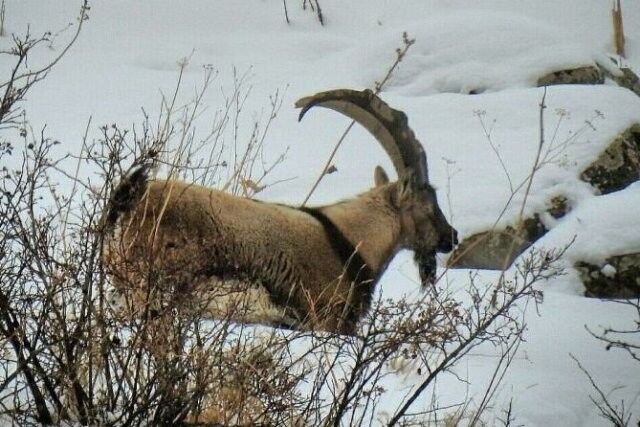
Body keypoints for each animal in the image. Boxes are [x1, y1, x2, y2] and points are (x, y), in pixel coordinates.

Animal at [102, 88, 458, 336]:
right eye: (429, 204)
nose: (451, 237)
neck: (351, 242)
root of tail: (129, 201)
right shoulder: (328, 318)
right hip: (149, 293)